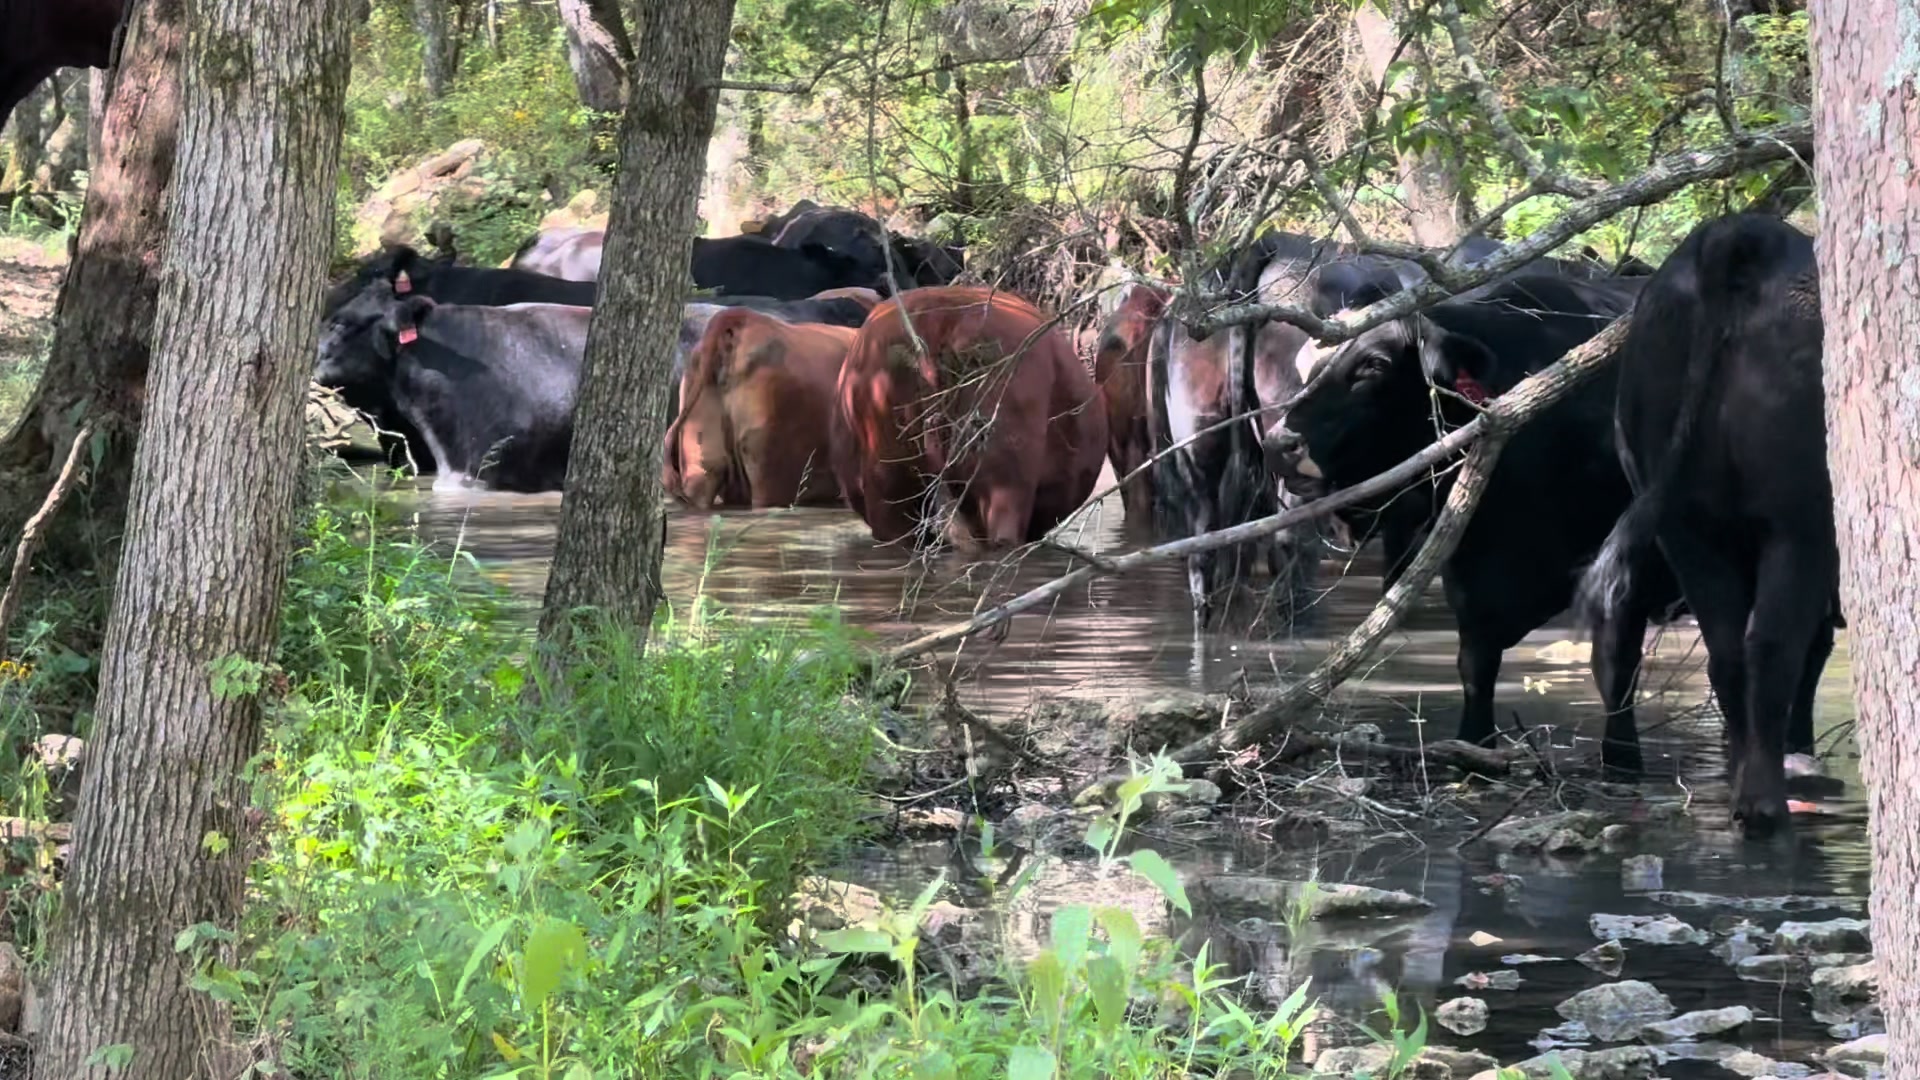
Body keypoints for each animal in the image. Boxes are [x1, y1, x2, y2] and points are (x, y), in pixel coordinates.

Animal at [1267, 272, 1662, 767]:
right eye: (1307, 368)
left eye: (1373, 365)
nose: (1279, 443)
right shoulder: (1473, 587)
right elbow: (1476, 674)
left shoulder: (1627, 575)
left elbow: (1616, 676)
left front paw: (1624, 765)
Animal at [1576, 214, 1838, 834]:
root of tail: (1738, 238)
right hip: (1799, 522)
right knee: (1772, 645)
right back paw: (1766, 802)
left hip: (1685, 525)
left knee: (1717, 649)